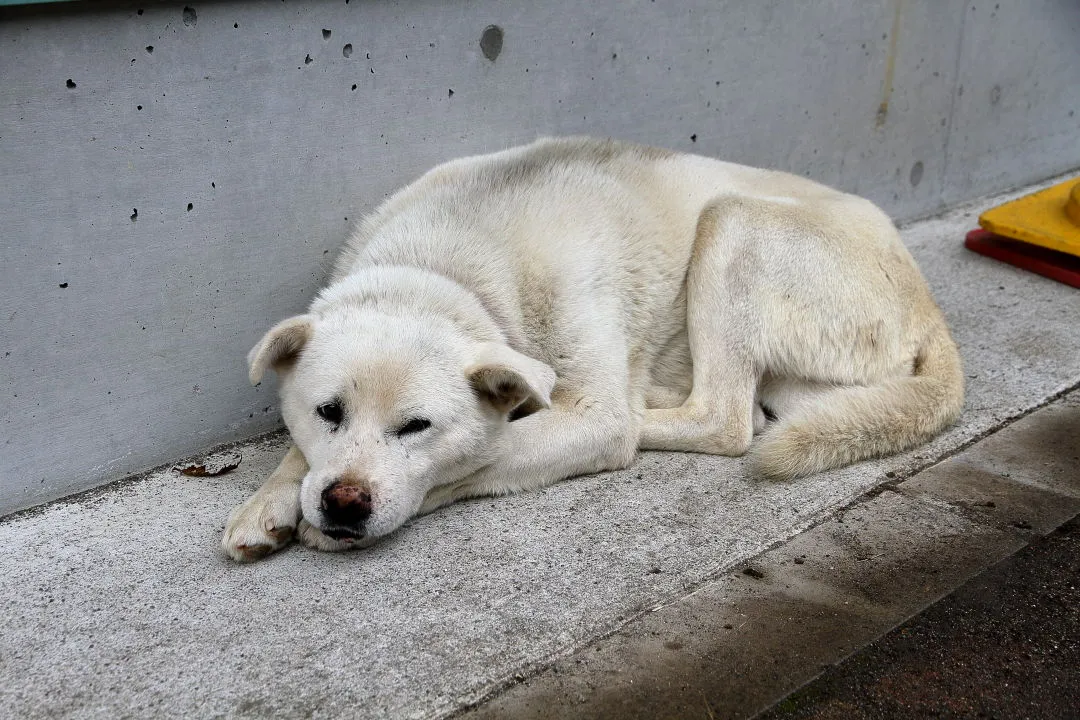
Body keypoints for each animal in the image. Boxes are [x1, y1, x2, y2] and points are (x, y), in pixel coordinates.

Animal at [219, 136, 963, 561]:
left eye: (417, 427)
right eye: (328, 412)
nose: (344, 503)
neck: (443, 266)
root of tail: (929, 303)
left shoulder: (590, 413)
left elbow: (488, 452)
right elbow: (297, 454)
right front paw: (270, 503)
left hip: (734, 223)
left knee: (725, 420)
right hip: (817, 376)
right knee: (777, 411)